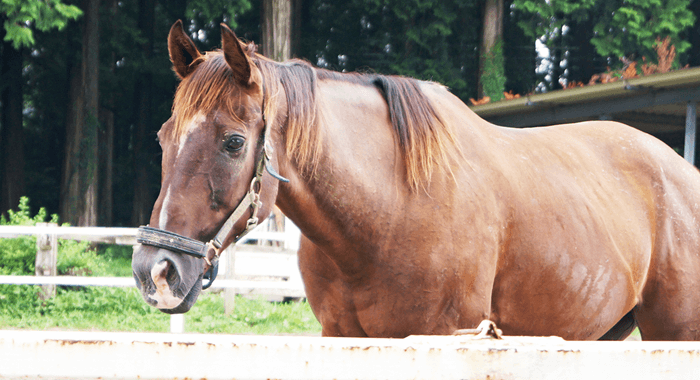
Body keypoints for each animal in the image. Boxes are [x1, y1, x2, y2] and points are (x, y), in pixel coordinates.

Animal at [130, 21, 700, 342]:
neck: (386, 213)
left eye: (233, 142)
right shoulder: (340, 335)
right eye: (162, 136)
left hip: (674, 333)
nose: (155, 271)